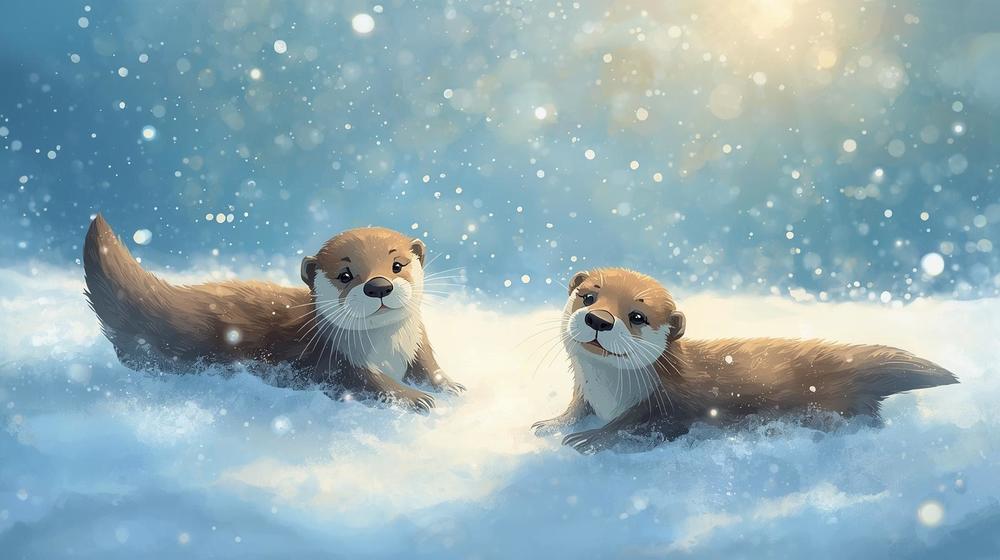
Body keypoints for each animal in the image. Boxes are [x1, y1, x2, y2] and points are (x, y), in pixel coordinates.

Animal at [83, 214, 464, 412]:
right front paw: (415, 398)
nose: (379, 286)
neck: (388, 348)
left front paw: (449, 385)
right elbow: (366, 382)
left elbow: (427, 366)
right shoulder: (332, 361)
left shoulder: (418, 342)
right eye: (345, 275)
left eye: (398, 265)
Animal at [532, 268, 958, 453]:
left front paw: (590, 438)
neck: (608, 393)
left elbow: (639, 427)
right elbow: (575, 408)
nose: (599, 319)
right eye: (588, 296)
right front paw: (551, 424)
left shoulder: (671, 404)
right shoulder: (585, 391)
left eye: (637, 316)